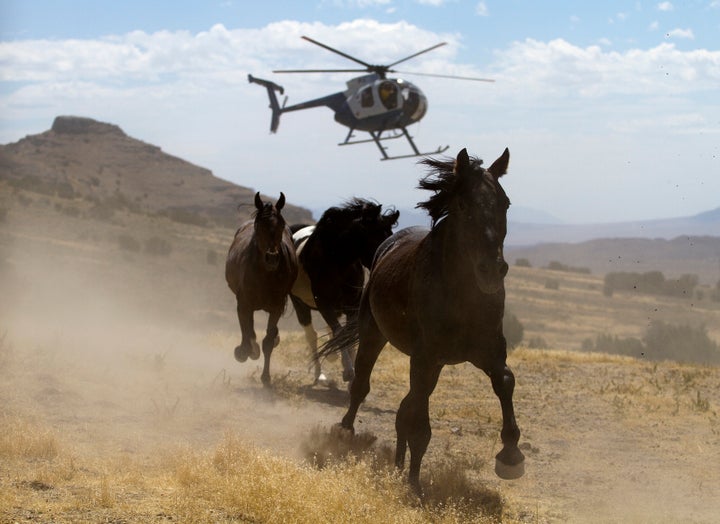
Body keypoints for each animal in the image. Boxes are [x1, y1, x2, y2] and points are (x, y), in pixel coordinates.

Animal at [222, 191, 296, 384]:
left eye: (282, 225)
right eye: (259, 226)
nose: (272, 258)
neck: (265, 275)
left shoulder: (277, 307)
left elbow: (268, 341)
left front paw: (266, 377)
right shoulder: (244, 304)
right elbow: (247, 333)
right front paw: (244, 352)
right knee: (248, 330)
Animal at [324, 148, 524, 496]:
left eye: (505, 203)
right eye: (463, 205)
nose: (492, 270)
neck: (460, 295)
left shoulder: (488, 351)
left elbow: (505, 381)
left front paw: (511, 456)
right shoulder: (425, 356)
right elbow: (418, 423)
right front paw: (414, 486)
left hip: (434, 364)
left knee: (406, 406)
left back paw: (397, 465)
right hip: (374, 333)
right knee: (362, 385)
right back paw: (346, 432)